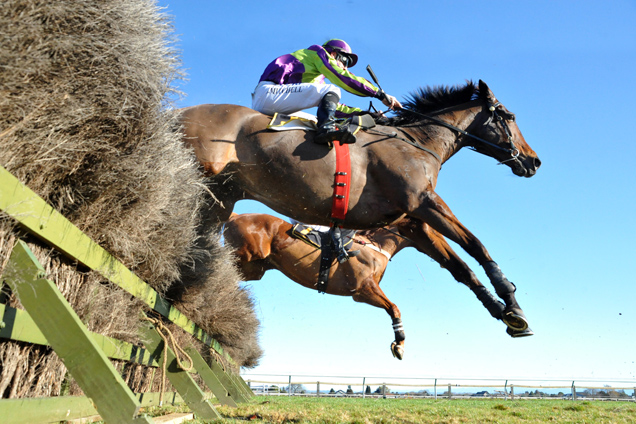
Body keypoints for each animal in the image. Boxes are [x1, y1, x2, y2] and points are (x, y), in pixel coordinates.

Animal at [180, 80, 540, 334]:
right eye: (509, 116)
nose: (533, 160)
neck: (418, 142)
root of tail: (180, 112)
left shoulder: (415, 223)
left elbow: (460, 267)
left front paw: (504, 311)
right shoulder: (424, 203)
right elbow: (476, 246)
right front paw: (511, 300)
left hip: (221, 199)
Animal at [224, 214, 532, 360]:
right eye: (428, 228)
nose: (445, 248)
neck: (374, 243)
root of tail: (235, 216)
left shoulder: (364, 292)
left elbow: (393, 307)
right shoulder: (362, 290)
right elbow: (394, 307)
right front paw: (400, 343)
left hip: (255, 268)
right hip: (246, 257)